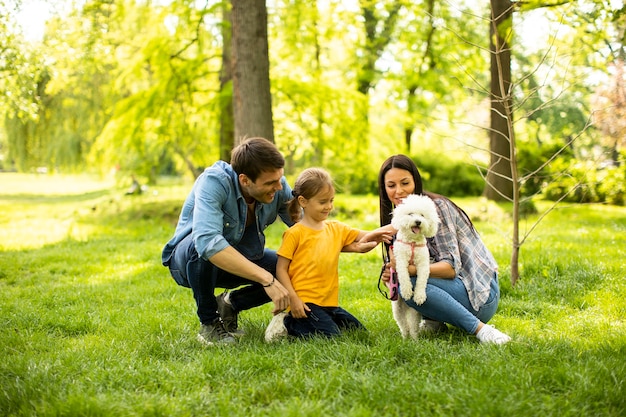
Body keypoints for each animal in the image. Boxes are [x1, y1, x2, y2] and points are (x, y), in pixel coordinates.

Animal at [388, 194, 436, 338]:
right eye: (410, 214)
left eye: (422, 215)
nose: (418, 221)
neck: (412, 243)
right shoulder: (399, 260)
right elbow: (404, 276)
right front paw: (407, 291)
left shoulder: (423, 263)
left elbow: (421, 280)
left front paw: (419, 296)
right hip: (397, 309)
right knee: (403, 325)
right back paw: (405, 338)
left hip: (414, 312)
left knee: (413, 326)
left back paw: (414, 340)